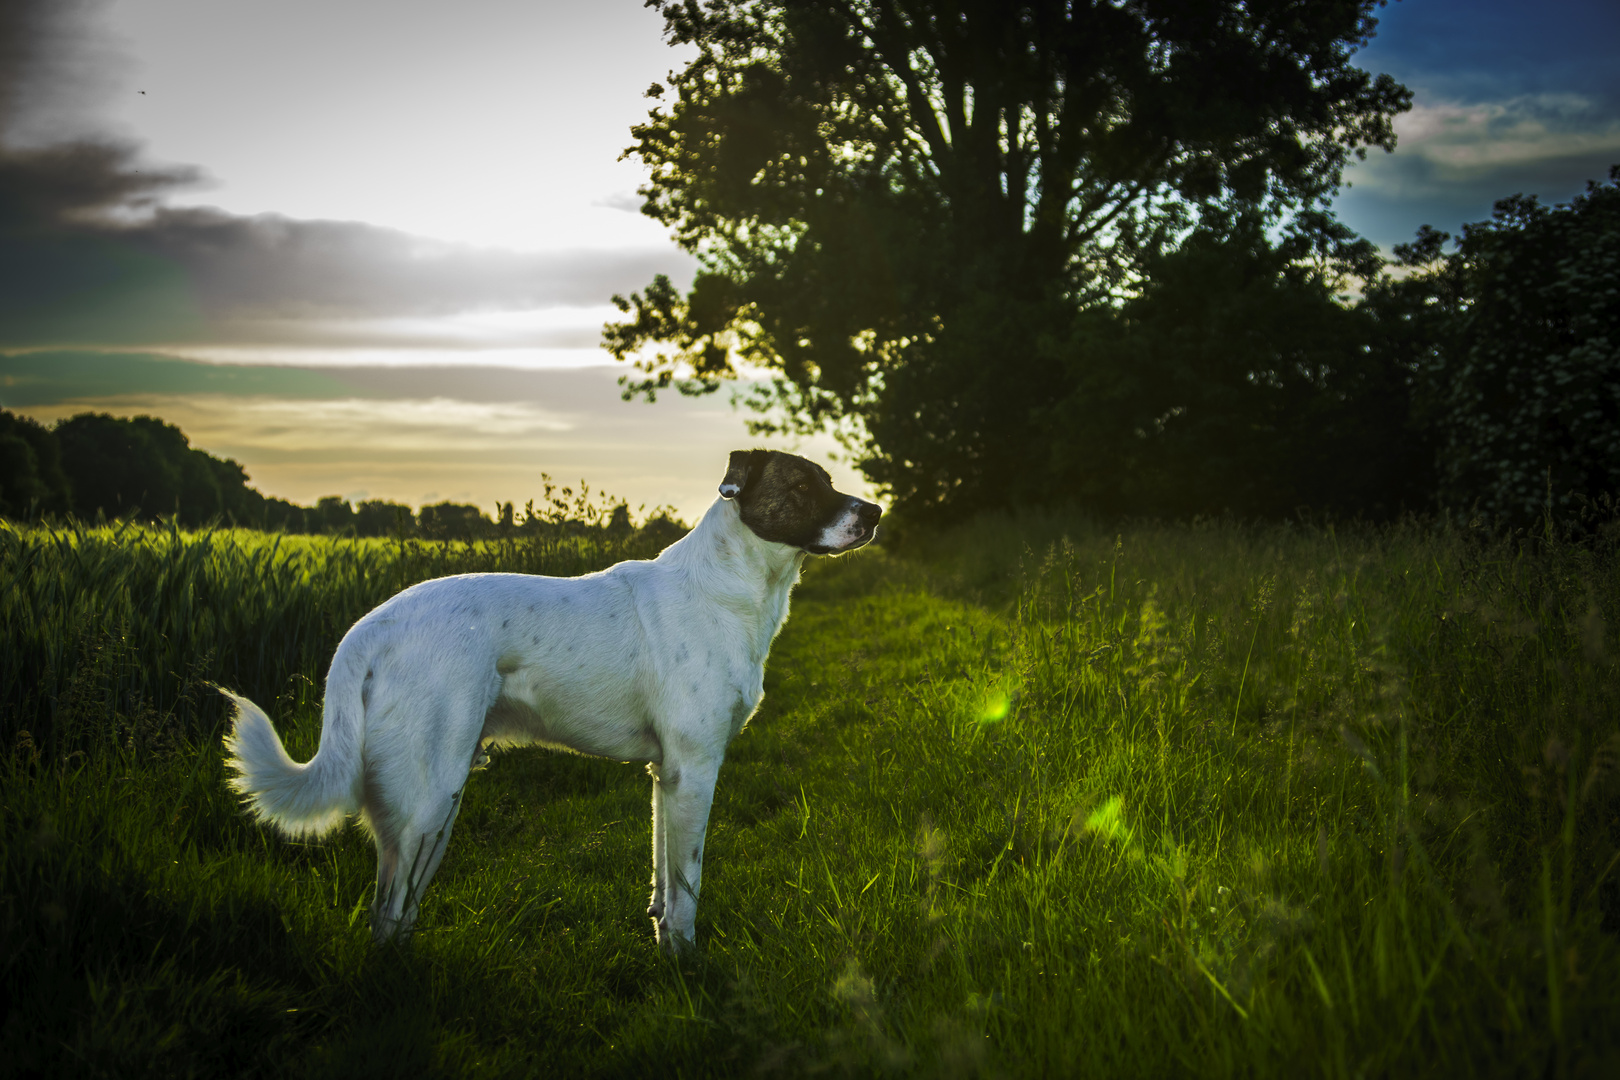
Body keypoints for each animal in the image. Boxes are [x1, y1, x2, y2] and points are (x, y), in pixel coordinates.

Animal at [220, 453, 881, 952]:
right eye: (803, 486)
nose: (875, 511)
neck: (729, 582)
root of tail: (368, 629)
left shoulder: (665, 774)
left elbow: (663, 874)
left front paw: (661, 940)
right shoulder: (695, 770)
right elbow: (687, 884)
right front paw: (684, 962)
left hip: (436, 800)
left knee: (399, 909)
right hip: (429, 797)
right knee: (387, 914)